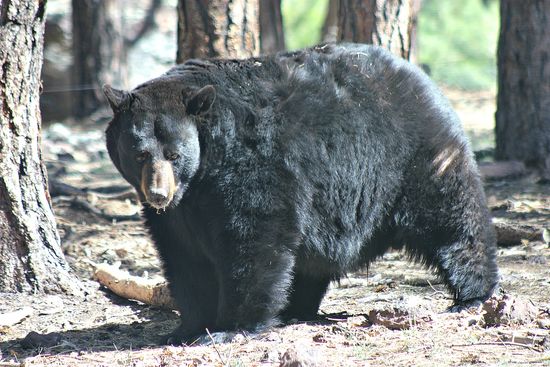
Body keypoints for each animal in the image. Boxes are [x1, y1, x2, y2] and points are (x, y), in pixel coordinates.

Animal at [103, 43, 500, 344]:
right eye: (140, 154)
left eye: (174, 154)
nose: (158, 194)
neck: (205, 171)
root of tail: (422, 79)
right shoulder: (182, 212)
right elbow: (184, 257)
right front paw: (186, 327)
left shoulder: (252, 166)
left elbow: (254, 238)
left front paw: (232, 327)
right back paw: (297, 308)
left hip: (413, 159)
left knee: (453, 219)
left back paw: (473, 294)